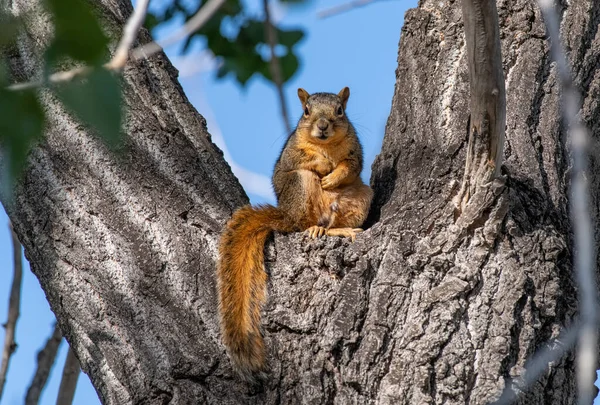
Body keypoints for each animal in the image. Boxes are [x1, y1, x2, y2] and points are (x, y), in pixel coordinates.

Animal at [218, 87, 372, 380]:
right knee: (303, 219)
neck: (325, 145)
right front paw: (323, 165)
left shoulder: (355, 152)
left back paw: (337, 229)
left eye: (340, 111)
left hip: (362, 196)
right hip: (300, 185)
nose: (322, 126)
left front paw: (333, 176)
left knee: (333, 222)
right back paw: (314, 227)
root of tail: (286, 215)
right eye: (306, 112)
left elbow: (350, 167)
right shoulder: (292, 153)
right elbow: (303, 159)